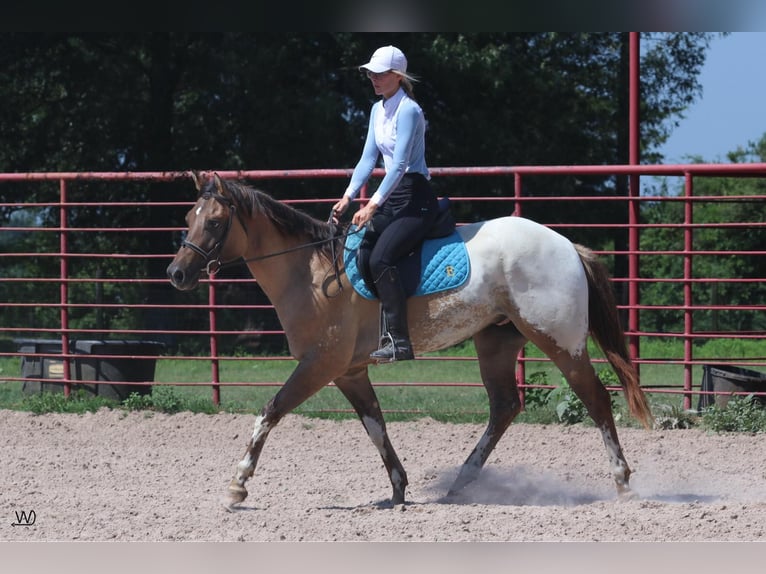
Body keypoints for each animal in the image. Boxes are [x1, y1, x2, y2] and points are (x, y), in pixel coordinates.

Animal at [166, 173, 656, 510]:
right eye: (188, 218)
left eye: (215, 222)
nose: (177, 273)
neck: (311, 272)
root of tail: (569, 246)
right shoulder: (350, 372)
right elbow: (375, 425)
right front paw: (399, 489)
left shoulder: (320, 365)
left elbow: (270, 411)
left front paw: (238, 484)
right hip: (496, 344)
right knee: (504, 407)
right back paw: (461, 482)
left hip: (559, 341)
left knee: (595, 398)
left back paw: (622, 481)